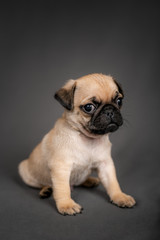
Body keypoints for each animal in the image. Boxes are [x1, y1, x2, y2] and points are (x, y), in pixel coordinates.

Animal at [19, 73, 136, 216]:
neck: (88, 138)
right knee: (44, 184)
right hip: (25, 171)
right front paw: (66, 205)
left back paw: (90, 180)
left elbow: (113, 183)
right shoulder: (61, 168)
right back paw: (46, 190)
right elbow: (63, 189)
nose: (110, 110)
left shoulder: (105, 165)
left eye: (119, 101)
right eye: (89, 107)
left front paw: (120, 197)